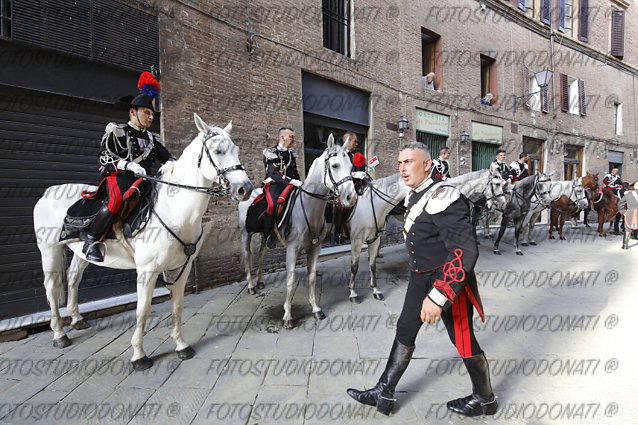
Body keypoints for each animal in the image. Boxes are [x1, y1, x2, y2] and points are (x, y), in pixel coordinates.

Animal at [33, 114, 252, 370]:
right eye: (217, 151)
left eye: (236, 150)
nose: (245, 189)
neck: (174, 210)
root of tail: (49, 192)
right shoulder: (147, 271)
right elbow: (143, 310)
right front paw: (139, 355)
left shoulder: (182, 268)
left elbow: (177, 306)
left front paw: (181, 345)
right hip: (49, 250)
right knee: (51, 287)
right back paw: (59, 334)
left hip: (80, 252)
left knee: (74, 278)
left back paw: (77, 319)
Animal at [241, 134, 360, 326]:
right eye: (335, 165)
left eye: (350, 167)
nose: (352, 198)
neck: (308, 207)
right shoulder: (292, 248)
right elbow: (290, 280)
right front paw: (287, 315)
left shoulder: (315, 247)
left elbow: (311, 277)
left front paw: (316, 309)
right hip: (246, 234)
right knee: (247, 255)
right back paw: (251, 285)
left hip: (264, 235)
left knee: (260, 254)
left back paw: (259, 282)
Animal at [344, 171, 410, 302]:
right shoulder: (356, 241)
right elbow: (354, 267)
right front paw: (353, 293)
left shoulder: (374, 240)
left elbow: (372, 266)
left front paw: (375, 290)